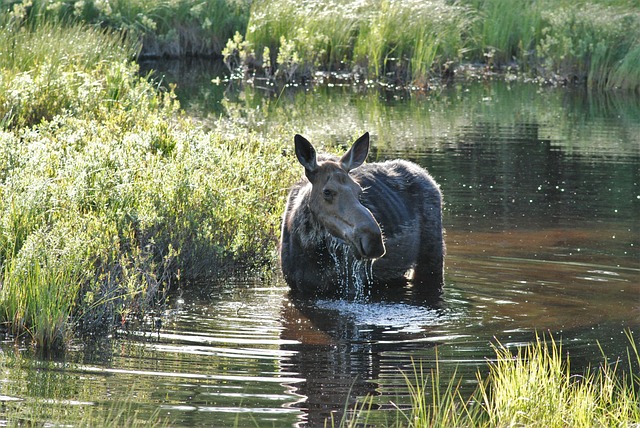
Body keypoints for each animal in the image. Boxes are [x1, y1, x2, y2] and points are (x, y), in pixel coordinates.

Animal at [280, 132, 444, 296]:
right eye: (327, 191)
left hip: (433, 258)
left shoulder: (351, 285)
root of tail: (430, 179)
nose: (374, 240)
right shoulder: (295, 285)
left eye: (359, 190)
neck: (307, 248)